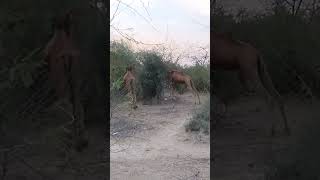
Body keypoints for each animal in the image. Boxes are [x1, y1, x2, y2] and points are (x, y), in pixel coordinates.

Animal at [43, 10, 88, 151]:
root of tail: (66, 54)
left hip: (62, 81)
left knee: (67, 104)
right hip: (75, 79)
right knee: (77, 104)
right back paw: (80, 140)